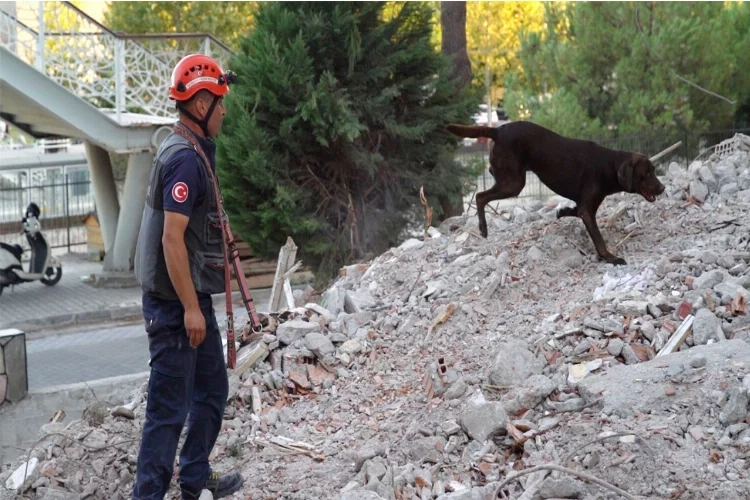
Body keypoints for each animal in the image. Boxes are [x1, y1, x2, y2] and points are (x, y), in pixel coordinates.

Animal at [446, 120, 664, 266]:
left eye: (653, 171)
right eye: (646, 174)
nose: (662, 188)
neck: (608, 165)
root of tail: (497, 130)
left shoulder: (584, 207)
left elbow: (572, 211)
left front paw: (562, 212)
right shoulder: (587, 210)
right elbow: (598, 239)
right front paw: (610, 257)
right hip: (514, 183)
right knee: (480, 196)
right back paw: (483, 228)